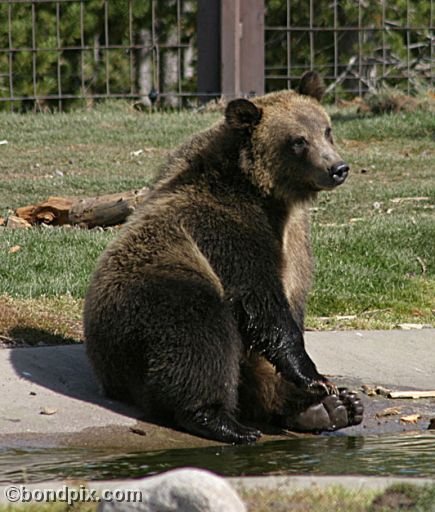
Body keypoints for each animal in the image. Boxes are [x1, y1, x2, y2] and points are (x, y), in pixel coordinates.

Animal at [83, 72, 362, 444]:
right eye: (298, 141)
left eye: (327, 129)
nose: (337, 168)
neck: (269, 196)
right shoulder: (224, 226)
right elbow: (259, 299)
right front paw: (313, 376)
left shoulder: (296, 242)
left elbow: (288, 305)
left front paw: (320, 391)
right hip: (146, 299)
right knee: (197, 334)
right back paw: (224, 422)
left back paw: (333, 408)